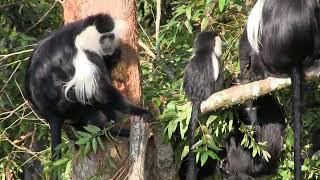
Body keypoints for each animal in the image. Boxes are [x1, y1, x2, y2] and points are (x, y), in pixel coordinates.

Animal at [25, 14, 152, 160]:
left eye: (111, 36)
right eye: (103, 38)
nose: (109, 45)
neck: (80, 33)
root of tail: (50, 113)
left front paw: (114, 55)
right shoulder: (84, 53)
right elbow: (100, 91)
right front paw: (141, 112)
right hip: (67, 103)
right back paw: (111, 130)